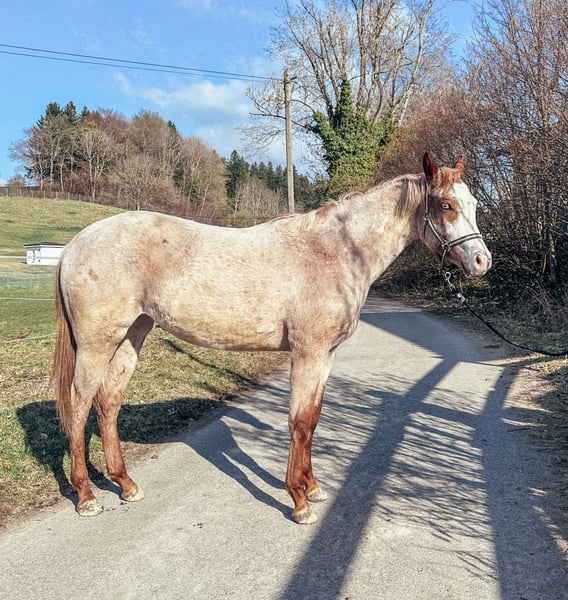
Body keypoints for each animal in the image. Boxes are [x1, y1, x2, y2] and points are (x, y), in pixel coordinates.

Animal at [52, 152, 491, 524]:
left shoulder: (325, 356)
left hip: (132, 336)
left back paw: (126, 485)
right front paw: (298, 501)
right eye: (446, 205)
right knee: (79, 405)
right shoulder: (307, 353)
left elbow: (312, 419)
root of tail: (75, 245)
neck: (337, 252)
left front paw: (312, 489)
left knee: (108, 403)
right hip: (96, 344)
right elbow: (298, 421)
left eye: (472, 204)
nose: (482, 262)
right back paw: (87, 496)